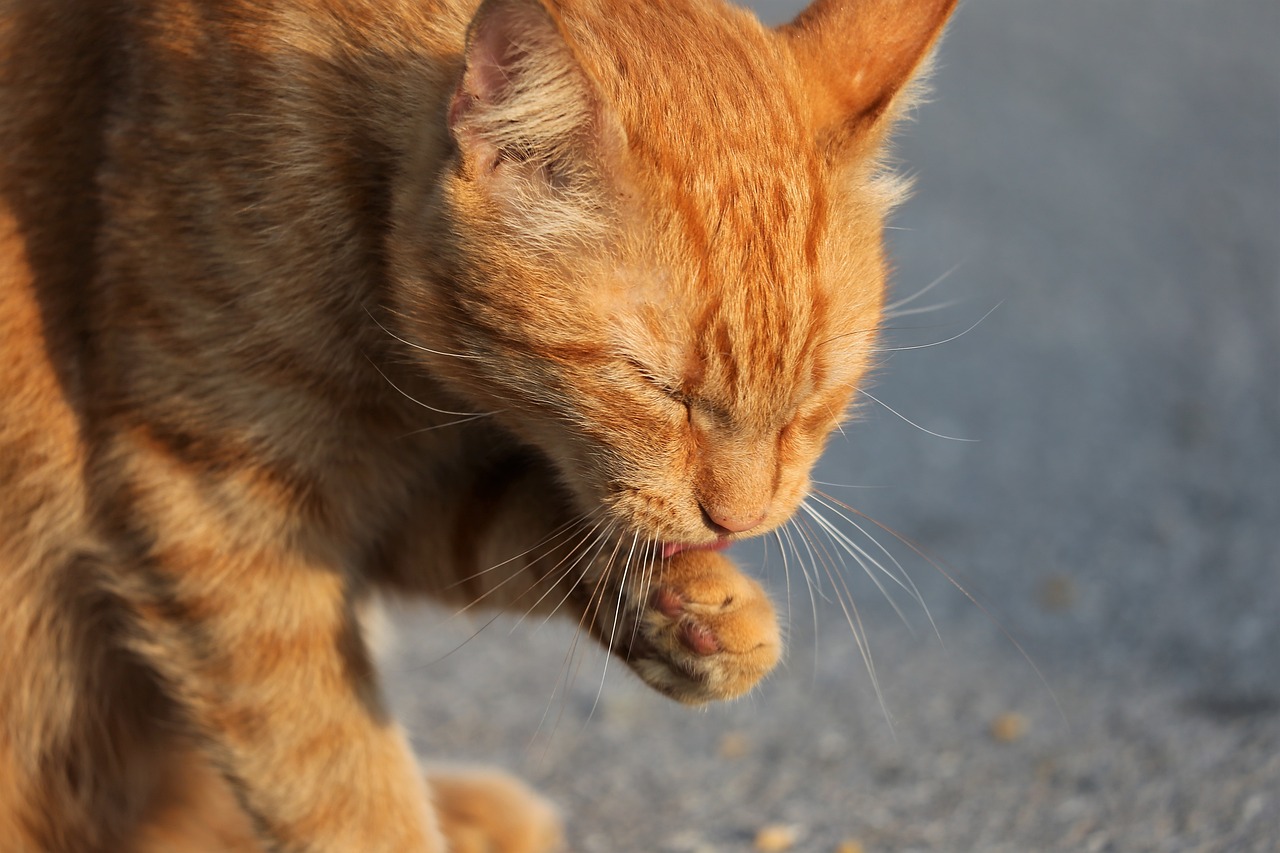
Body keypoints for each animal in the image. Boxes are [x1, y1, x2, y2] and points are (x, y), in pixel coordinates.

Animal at [0, 1, 957, 850]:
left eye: (814, 393)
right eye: (657, 388)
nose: (742, 518)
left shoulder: (403, 505)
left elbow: (525, 528)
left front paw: (692, 613)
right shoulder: (215, 510)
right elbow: (335, 774)